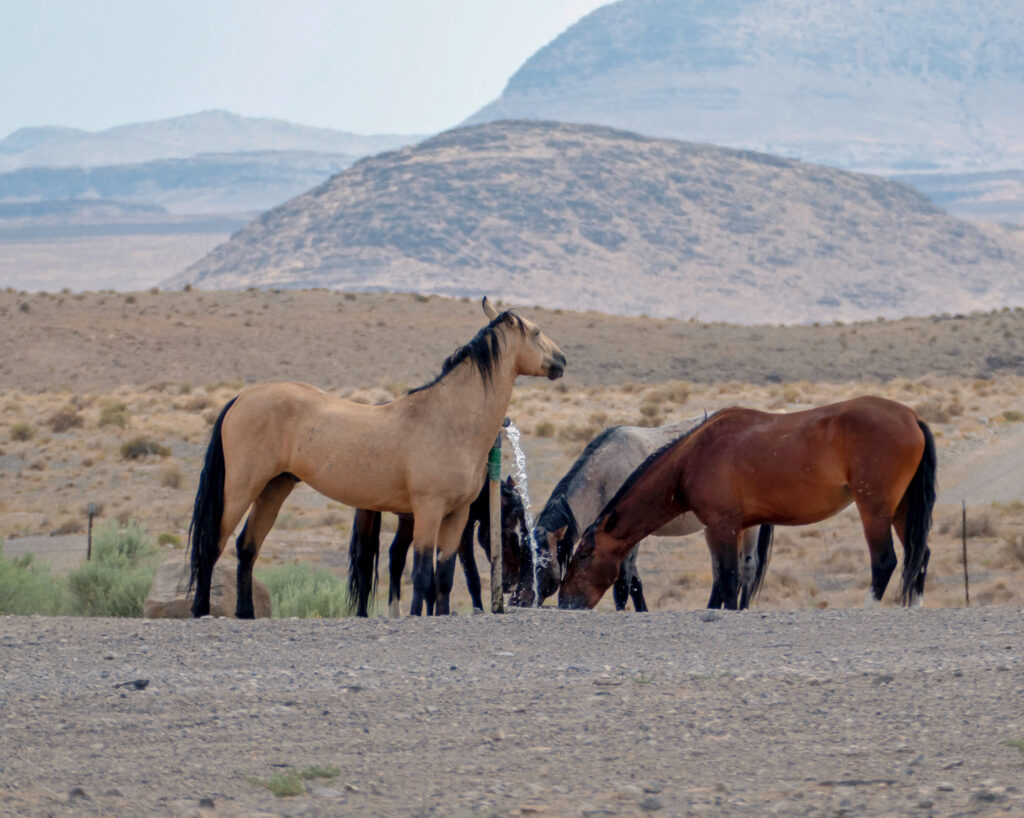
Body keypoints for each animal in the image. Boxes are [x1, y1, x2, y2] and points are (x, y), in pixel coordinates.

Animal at [188, 296, 565, 618]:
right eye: (536, 332)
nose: (561, 360)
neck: (448, 417)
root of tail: (241, 397)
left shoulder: (456, 516)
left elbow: (444, 577)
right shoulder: (427, 511)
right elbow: (423, 573)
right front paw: (414, 616)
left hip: (274, 488)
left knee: (247, 546)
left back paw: (245, 614)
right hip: (241, 488)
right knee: (213, 543)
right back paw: (200, 610)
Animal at [524, 419, 770, 610]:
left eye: (541, 564)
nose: (520, 601)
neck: (605, 475)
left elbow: (622, 584)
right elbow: (635, 583)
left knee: (747, 568)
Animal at [561, 393, 937, 610]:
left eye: (584, 553)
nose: (566, 601)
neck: (694, 456)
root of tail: (912, 417)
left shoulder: (720, 525)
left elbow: (727, 579)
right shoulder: (741, 526)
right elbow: (730, 577)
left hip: (875, 509)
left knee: (885, 561)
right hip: (903, 509)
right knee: (919, 554)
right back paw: (913, 606)